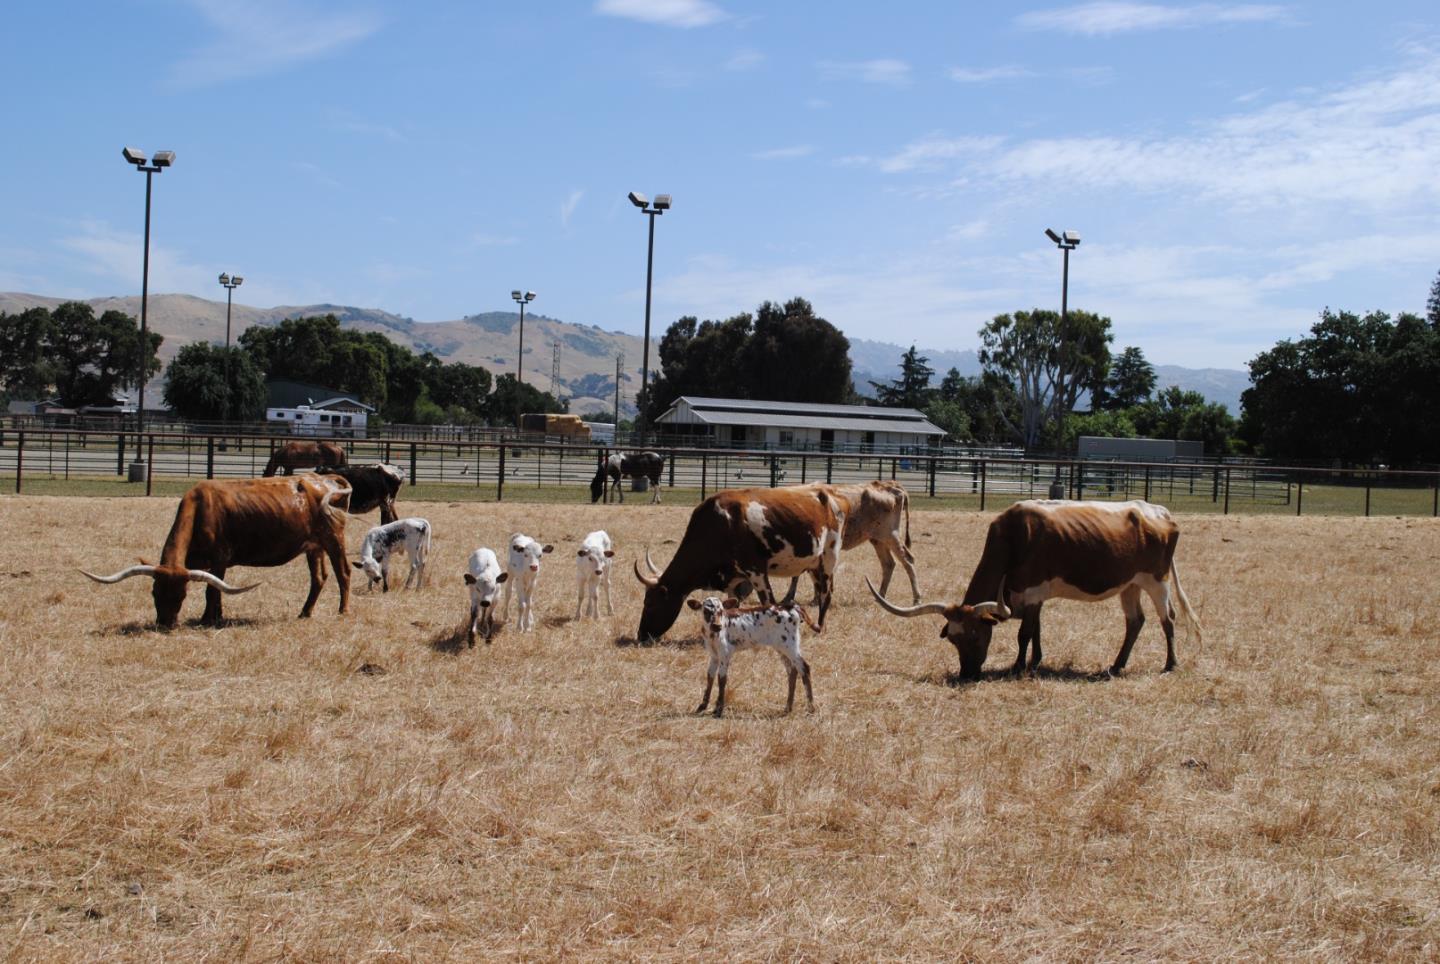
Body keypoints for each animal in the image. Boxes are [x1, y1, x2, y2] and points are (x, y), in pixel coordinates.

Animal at [83, 475, 354, 628]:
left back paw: (343, 610)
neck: (201, 509)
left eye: (181, 595)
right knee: (318, 578)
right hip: (314, 547)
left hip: (334, 538)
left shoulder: (220, 558)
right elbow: (218, 588)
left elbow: (212, 590)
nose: (165, 624)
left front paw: (206, 619)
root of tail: (327, 480)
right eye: (154, 592)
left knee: (344, 573)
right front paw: (217, 617)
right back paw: (305, 612)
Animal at [630, 489, 840, 639]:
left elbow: (768, 602)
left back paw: (820, 627)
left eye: (650, 603)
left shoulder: (757, 572)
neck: (721, 524)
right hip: (813, 565)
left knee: (826, 595)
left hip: (828, 559)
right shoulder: (734, 580)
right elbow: (731, 607)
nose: (641, 635)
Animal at [682, 593, 817, 714]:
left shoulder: (725, 654)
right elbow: (710, 677)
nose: (717, 626)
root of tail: (790, 607)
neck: (712, 635)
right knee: (792, 671)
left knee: (804, 667)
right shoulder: (714, 655)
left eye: (721, 611)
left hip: (790, 646)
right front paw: (702, 706)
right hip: (781, 647)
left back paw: (811, 708)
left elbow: (722, 679)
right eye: (706, 611)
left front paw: (719, 709)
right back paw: (788, 707)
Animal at [869, 501, 1198, 680]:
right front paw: (1035, 661)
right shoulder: (1031, 597)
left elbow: (1024, 632)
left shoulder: (1034, 591)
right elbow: (1036, 628)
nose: (967, 674)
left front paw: (1018, 666)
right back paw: (1117, 666)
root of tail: (1160, 513)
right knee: (1135, 622)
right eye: (952, 639)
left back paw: (1170, 664)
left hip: (1157, 581)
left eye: (976, 635)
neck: (1015, 538)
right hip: (1129, 584)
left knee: (1167, 619)